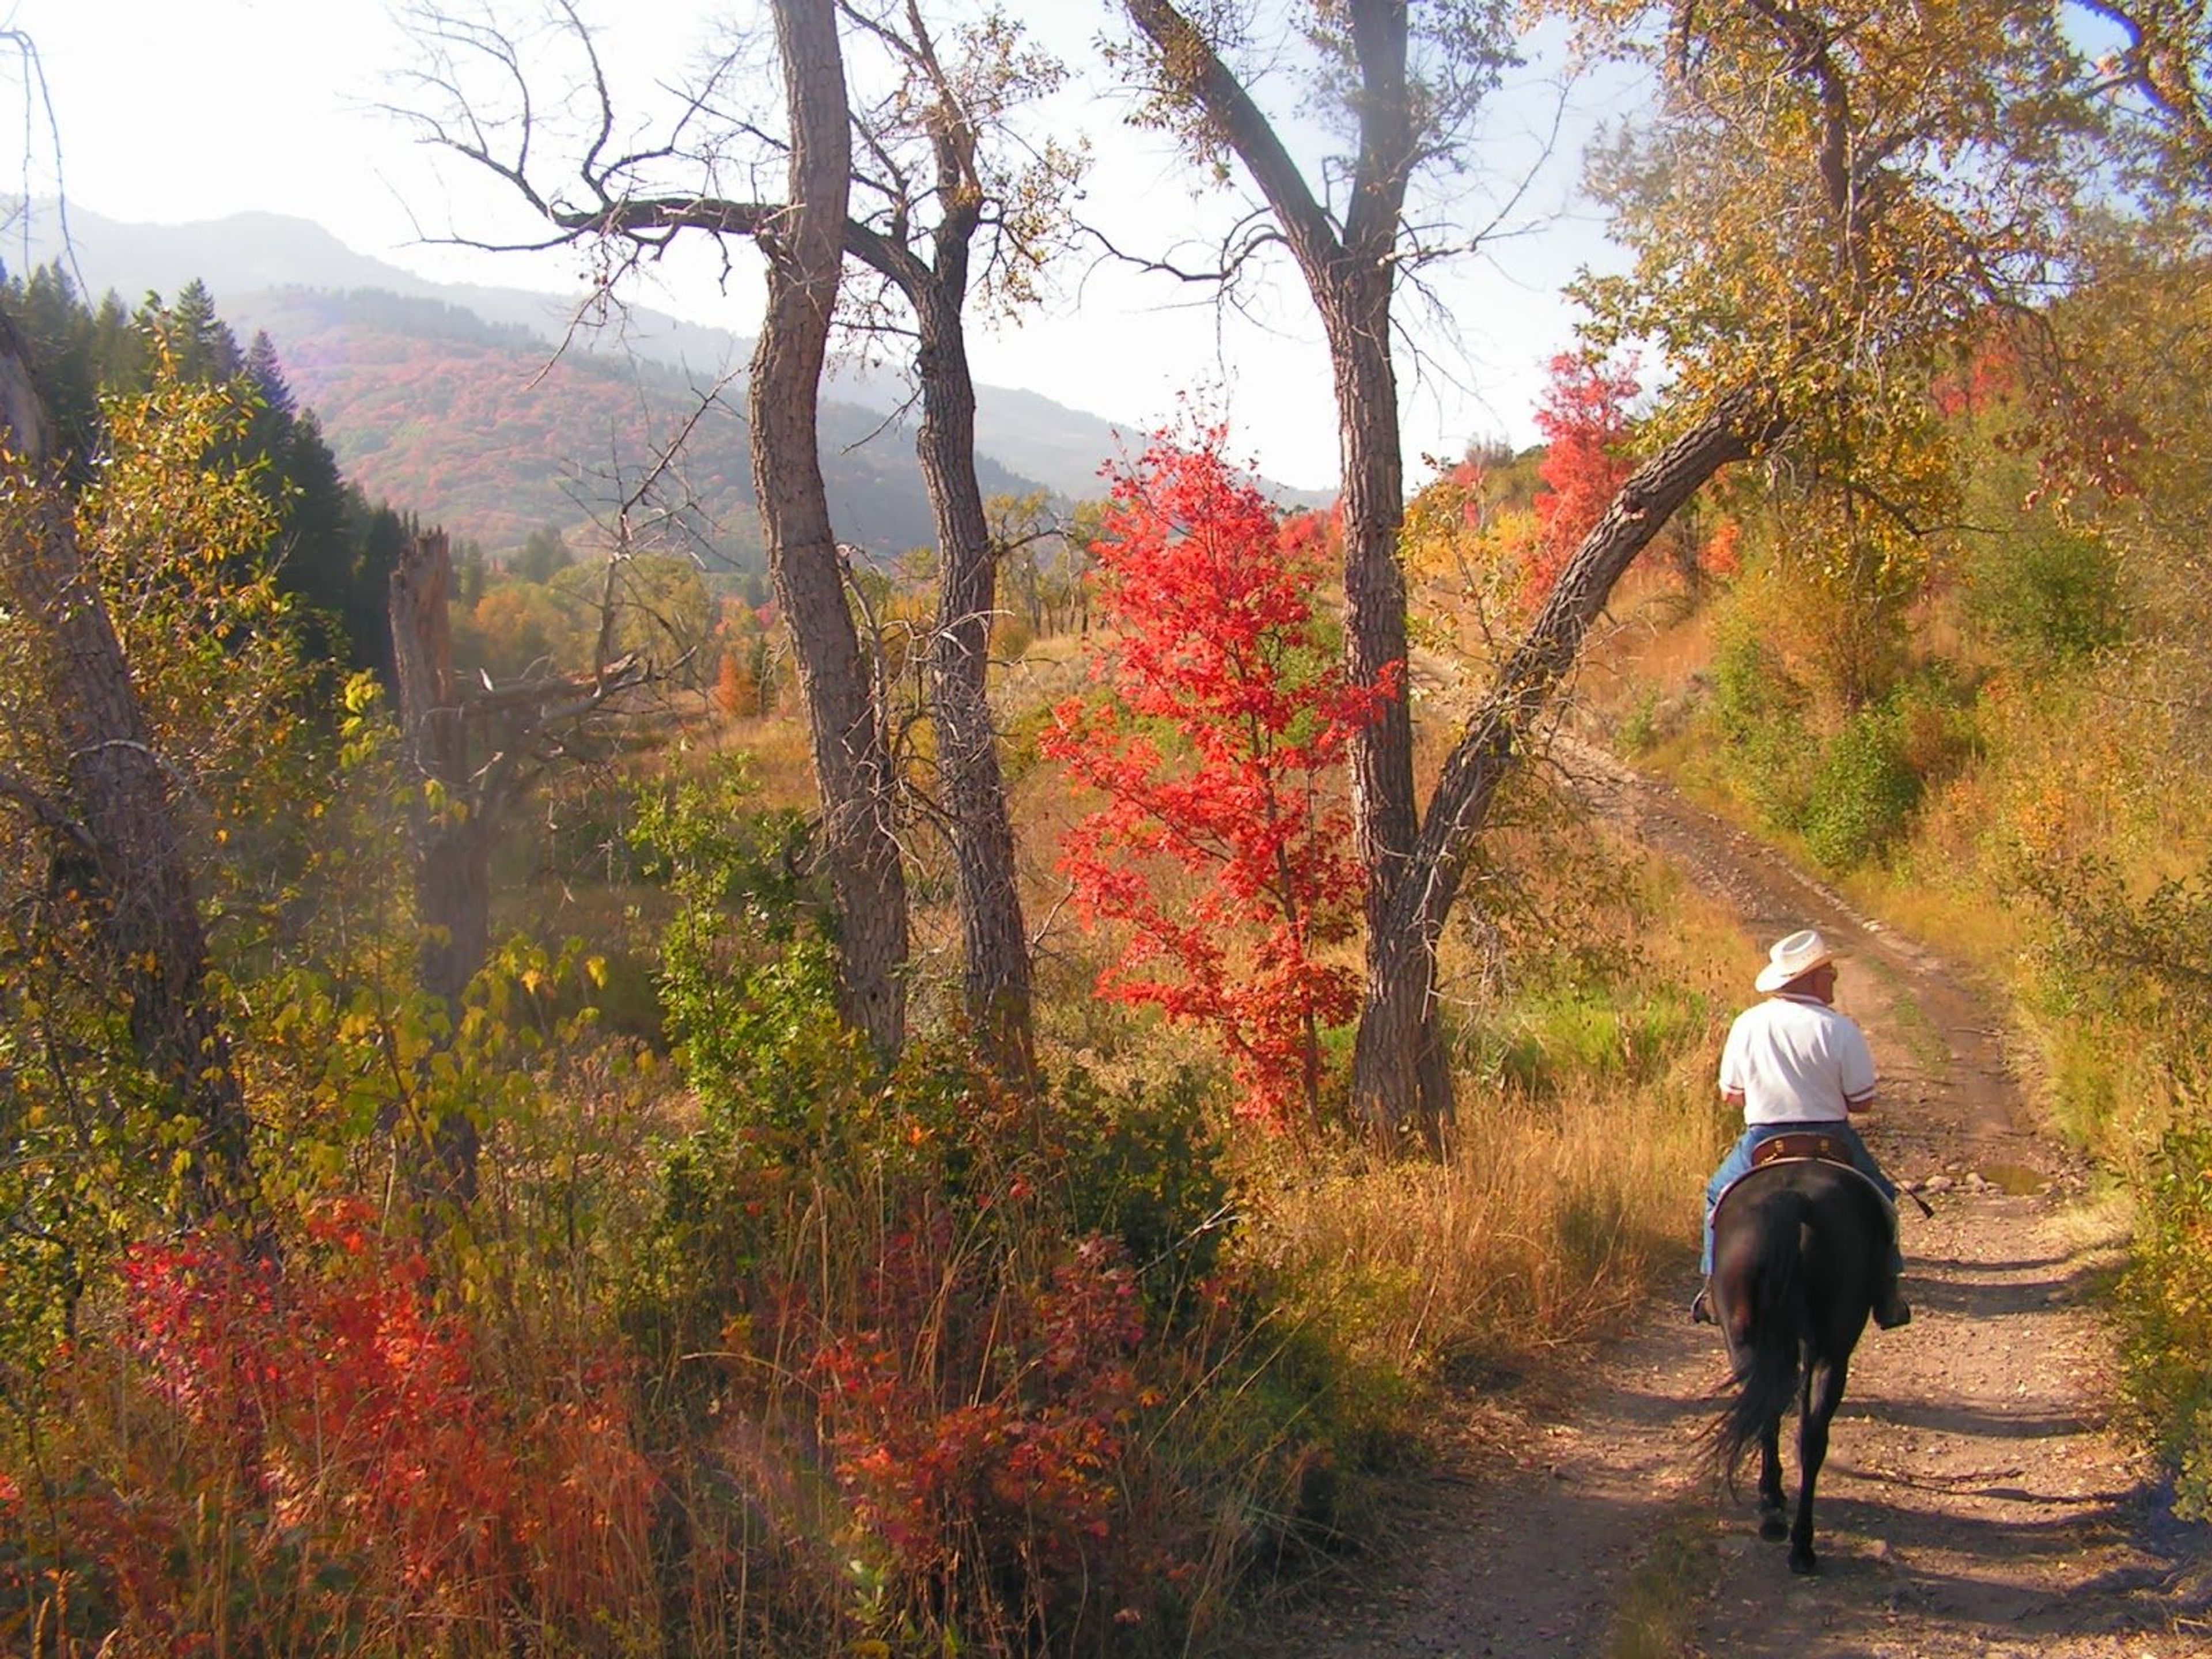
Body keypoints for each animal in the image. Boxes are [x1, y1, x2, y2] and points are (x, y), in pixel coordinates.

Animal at [1707, 1159, 1884, 1575]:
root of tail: (1792, 1202)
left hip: (1748, 1343)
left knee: (1774, 1418)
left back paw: (1778, 1517)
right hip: (1831, 1351)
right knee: (1810, 1436)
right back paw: (1800, 1541)